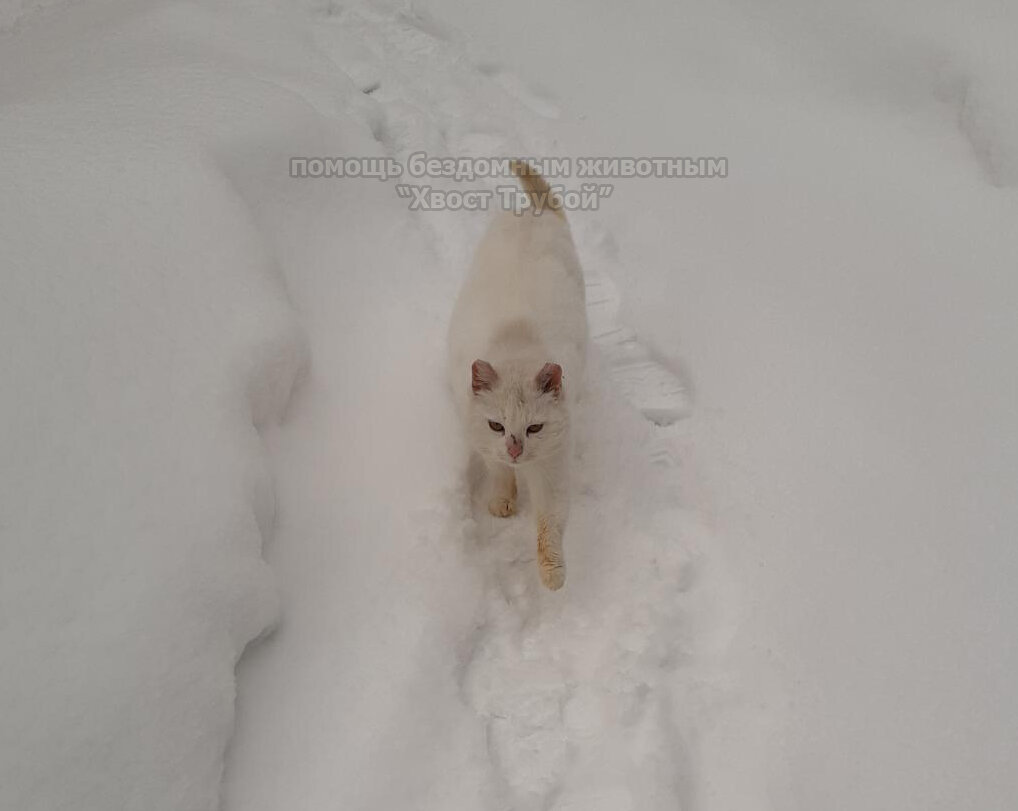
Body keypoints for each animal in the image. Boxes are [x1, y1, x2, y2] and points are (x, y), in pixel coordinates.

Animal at [447, 159, 590, 590]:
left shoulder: (553, 466)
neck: (516, 340)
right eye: (497, 425)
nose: (515, 450)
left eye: (534, 428)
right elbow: (496, 470)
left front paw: (553, 575)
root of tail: (536, 209)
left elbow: (549, 524)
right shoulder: (480, 438)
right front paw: (502, 500)